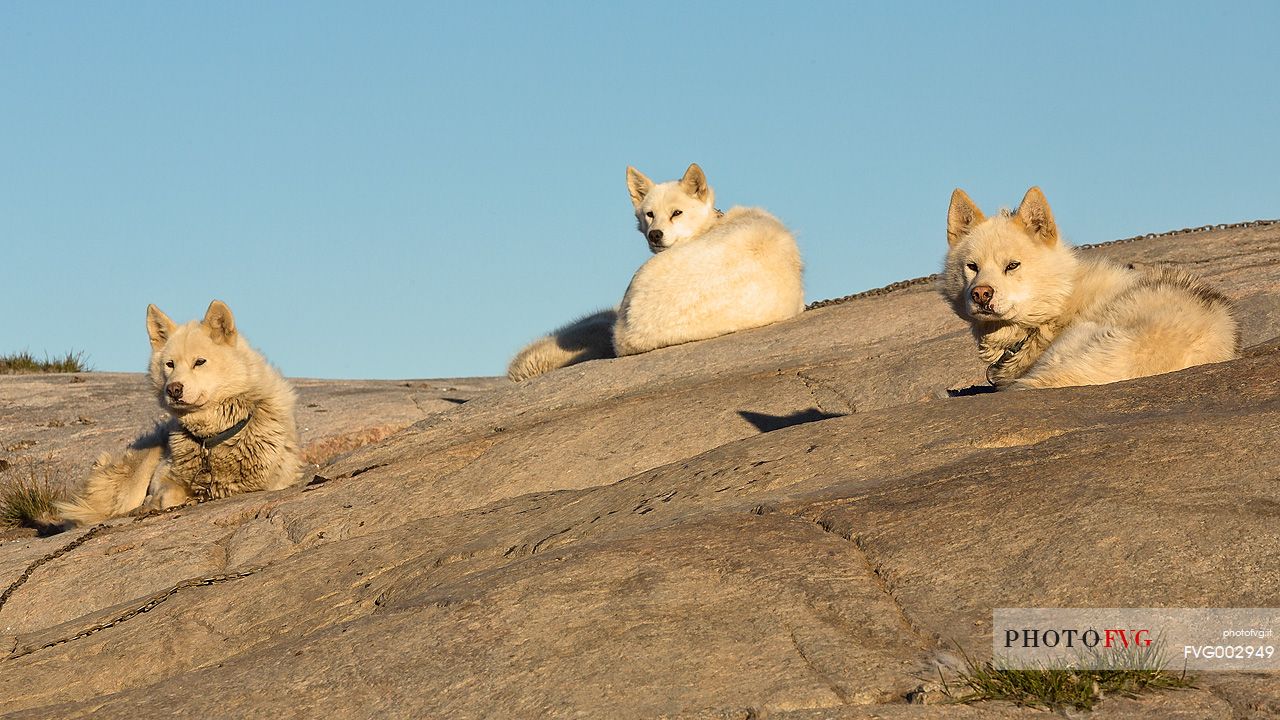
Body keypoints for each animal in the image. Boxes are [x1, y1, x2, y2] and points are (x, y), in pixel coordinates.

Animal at [58, 297, 304, 520]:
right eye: (170, 364)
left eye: (200, 362)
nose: (173, 389)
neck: (211, 441)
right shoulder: (164, 475)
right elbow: (168, 495)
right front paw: (155, 502)